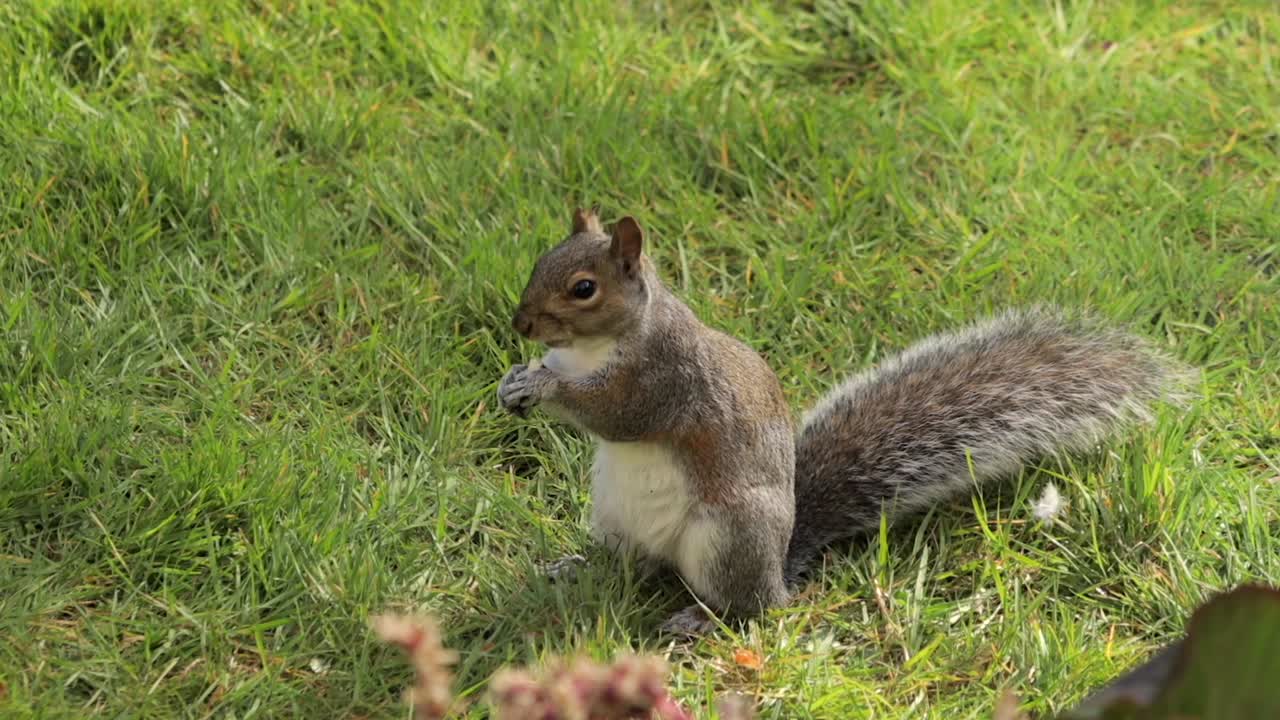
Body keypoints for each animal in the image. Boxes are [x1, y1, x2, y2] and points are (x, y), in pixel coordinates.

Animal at [497, 209, 1192, 635]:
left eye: (584, 288)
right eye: (540, 260)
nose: (521, 323)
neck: (591, 349)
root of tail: (780, 570)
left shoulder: (664, 380)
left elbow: (616, 413)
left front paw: (544, 386)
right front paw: (516, 379)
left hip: (727, 538)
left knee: (744, 608)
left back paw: (701, 618)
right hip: (617, 517)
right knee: (633, 566)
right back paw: (577, 569)